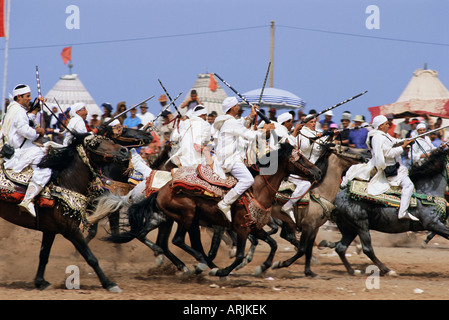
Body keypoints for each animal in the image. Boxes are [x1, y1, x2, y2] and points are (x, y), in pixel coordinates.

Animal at [0, 133, 130, 292]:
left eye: (109, 139)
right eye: (96, 144)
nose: (124, 150)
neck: (65, 183)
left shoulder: (50, 230)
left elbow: (44, 255)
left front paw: (40, 281)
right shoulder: (70, 229)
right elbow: (91, 258)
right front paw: (109, 284)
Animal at [328, 147, 448, 276]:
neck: (426, 193)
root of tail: (336, 199)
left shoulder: (435, 224)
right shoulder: (432, 223)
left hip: (348, 228)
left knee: (340, 248)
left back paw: (352, 270)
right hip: (361, 226)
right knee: (367, 249)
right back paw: (387, 270)